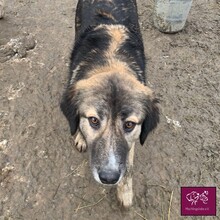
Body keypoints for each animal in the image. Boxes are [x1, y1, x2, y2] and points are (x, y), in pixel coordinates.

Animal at [61, 0, 159, 208]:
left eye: (129, 124)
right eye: (93, 121)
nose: (109, 178)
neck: (112, 61)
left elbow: (128, 165)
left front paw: (125, 191)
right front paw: (80, 135)